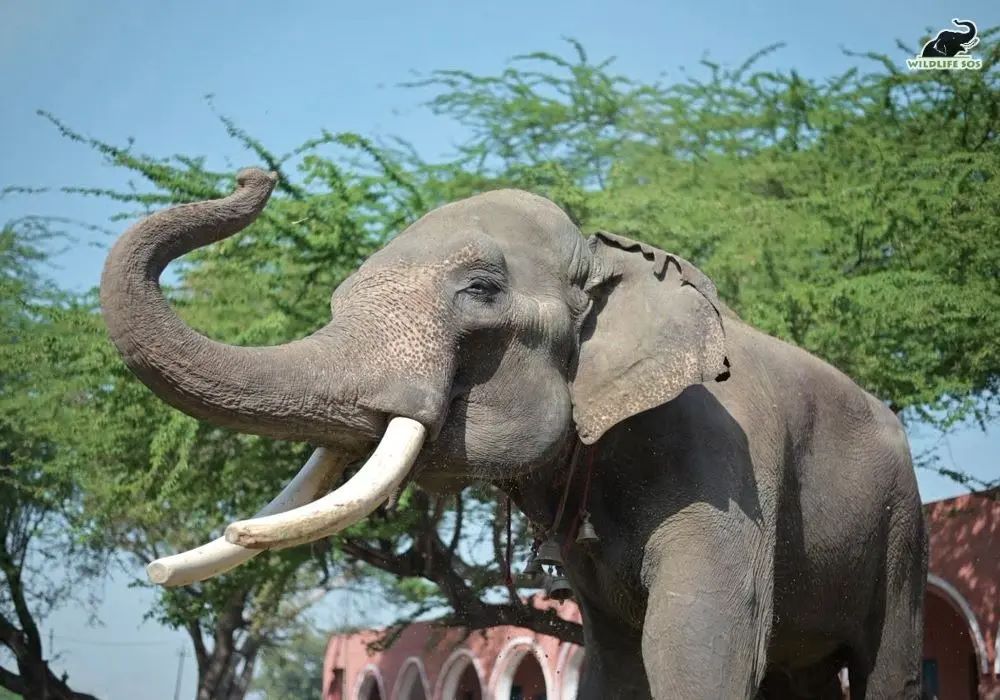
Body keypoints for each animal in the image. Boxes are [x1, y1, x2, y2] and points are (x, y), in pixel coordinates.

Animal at [100, 169, 928, 699]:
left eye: (481, 290)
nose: (255, 176)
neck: (604, 252)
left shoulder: (725, 464)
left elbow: (697, 642)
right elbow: (616, 662)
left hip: (901, 527)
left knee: (889, 662)